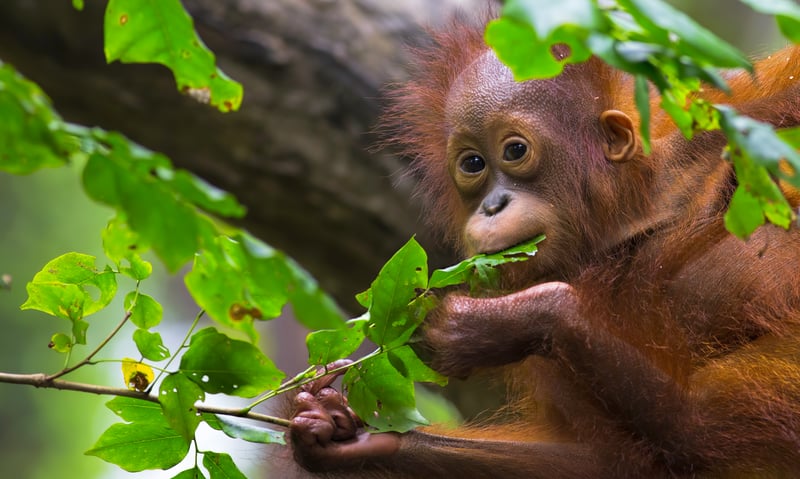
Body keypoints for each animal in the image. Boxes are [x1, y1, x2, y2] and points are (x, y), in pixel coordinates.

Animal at [287, 15, 800, 479]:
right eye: (472, 164)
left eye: (515, 151)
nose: (493, 205)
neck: (631, 219)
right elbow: (618, 462)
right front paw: (348, 433)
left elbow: (702, 426)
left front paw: (490, 324)